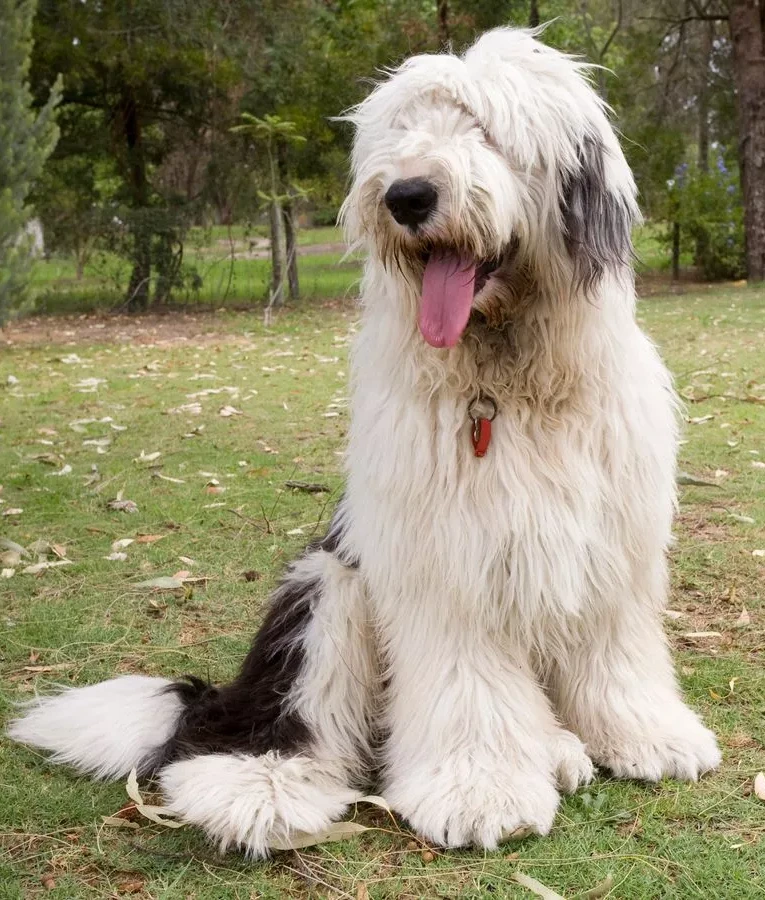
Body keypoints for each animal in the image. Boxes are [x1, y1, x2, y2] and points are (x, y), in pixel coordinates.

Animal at [8, 28, 720, 856]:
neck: (505, 383)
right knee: (266, 724)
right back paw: (259, 788)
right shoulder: (442, 561)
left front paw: (645, 735)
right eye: (402, 131)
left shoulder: (610, 545)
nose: (406, 196)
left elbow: (615, 651)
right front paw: (478, 790)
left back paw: (557, 748)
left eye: (486, 129)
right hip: (327, 590)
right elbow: (467, 681)